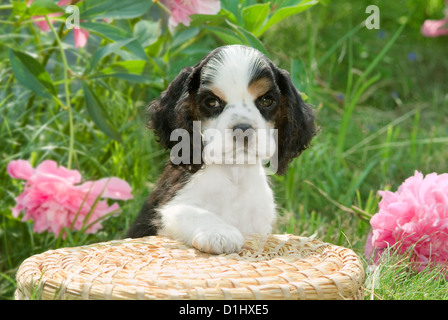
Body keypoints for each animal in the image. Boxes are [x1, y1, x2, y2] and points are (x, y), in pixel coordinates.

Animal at [125, 45, 316, 255]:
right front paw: (219, 234)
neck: (234, 173)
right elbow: (193, 212)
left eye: (267, 100)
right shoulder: (170, 207)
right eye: (211, 102)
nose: (242, 129)